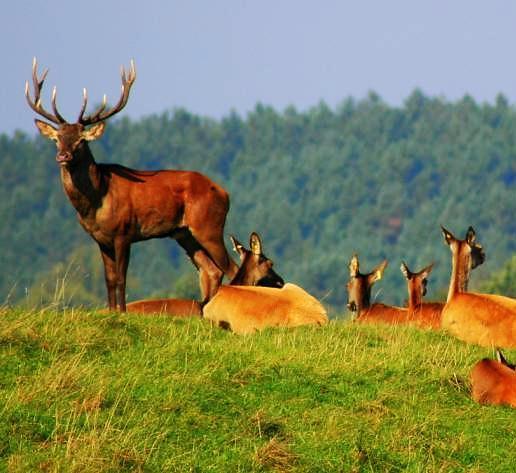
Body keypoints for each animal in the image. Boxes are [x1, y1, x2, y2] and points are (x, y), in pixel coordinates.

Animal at [26, 58, 238, 310]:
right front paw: (110, 311)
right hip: (184, 233)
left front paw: (123, 311)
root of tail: (225, 193)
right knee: (212, 270)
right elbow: (109, 279)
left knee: (231, 268)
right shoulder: (100, 239)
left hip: (209, 226)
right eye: (57, 139)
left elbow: (121, 278)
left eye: (81, 140)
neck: (97, 200)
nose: (63, 156)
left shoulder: (124, 232)